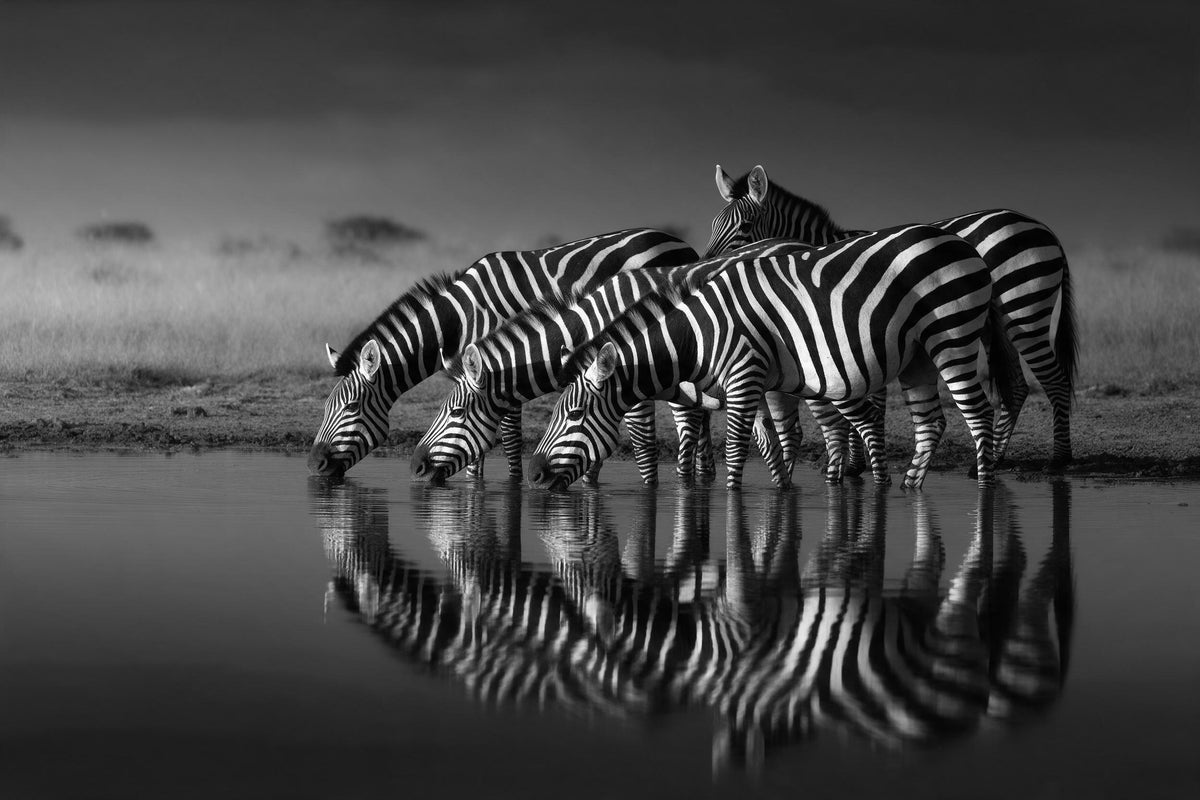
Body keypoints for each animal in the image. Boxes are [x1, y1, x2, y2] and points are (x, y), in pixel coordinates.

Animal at [307, 228, 697, 479]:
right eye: (325, 408)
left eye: (350, 407)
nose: (313, 466)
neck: (460, 318)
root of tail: (680, 243)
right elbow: (474, 448)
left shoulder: (500, 367)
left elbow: (508, 441)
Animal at [408, 243, 808, 487]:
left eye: (456, 412)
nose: (414, 467)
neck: (597, 322)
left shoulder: (634, 387)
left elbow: (645, 449)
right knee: (776, 437)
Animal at [529, 224, 1017, 490]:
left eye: (573, 416)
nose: (532, 475)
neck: (699, 334)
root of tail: (960, 242)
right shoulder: (758, 382)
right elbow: (772, 446)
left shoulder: (744, 376)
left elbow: (736, 449)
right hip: (918, 355)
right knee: (931, 423)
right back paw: (908, 488)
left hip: (951, 334)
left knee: (978, 416)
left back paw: (985, 489)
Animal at [706, 164, 1078, 472]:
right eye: (713, 224)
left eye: (746, 226)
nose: (705, 264)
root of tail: (1044, 228)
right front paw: (857, 463)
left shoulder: (858, 328)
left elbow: (869, 400)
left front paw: (857, 465)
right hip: (997, 324)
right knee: (1017, 387)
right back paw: (993, 461)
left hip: (1024, 308)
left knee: (1055, 379)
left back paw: (1059, 460)